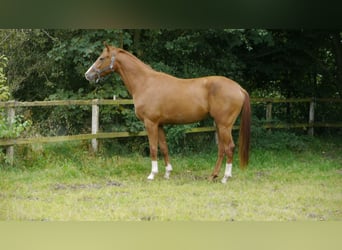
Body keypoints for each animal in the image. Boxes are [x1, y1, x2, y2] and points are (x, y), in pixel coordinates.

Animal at [85, 44, 251, 183]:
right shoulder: (160, 125)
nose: (87, 75)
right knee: (222, 149)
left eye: (101, 58)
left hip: (224, 125)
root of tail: (239, 88)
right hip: (219, 125)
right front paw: (167, 173)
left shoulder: (150, 123)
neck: (145, 82)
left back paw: (225, 177)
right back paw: (213, 175)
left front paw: (152, 174)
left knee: (229, 147)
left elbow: (153, 148)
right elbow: (164, 147)